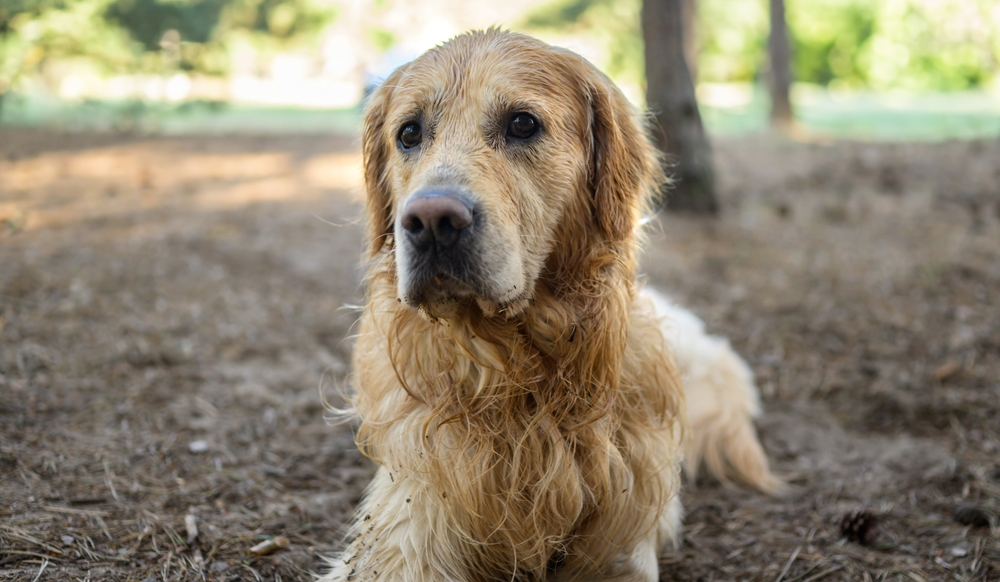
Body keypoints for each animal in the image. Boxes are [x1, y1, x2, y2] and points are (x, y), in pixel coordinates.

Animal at [324, 30, 776, 582]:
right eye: (408, 133)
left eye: (522, 124)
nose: (432, 221)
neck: (523, 379)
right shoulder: (408, 520)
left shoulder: (623, 547)